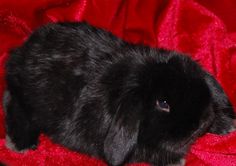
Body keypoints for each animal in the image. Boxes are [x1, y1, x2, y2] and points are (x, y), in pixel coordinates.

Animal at [2, 22, 235, 166]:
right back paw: (21, 143)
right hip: (26, 96)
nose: (203, 120)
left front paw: (225, 124)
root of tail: (20, 53)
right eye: (163, 103)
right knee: (12, 102)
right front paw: (175, 159)